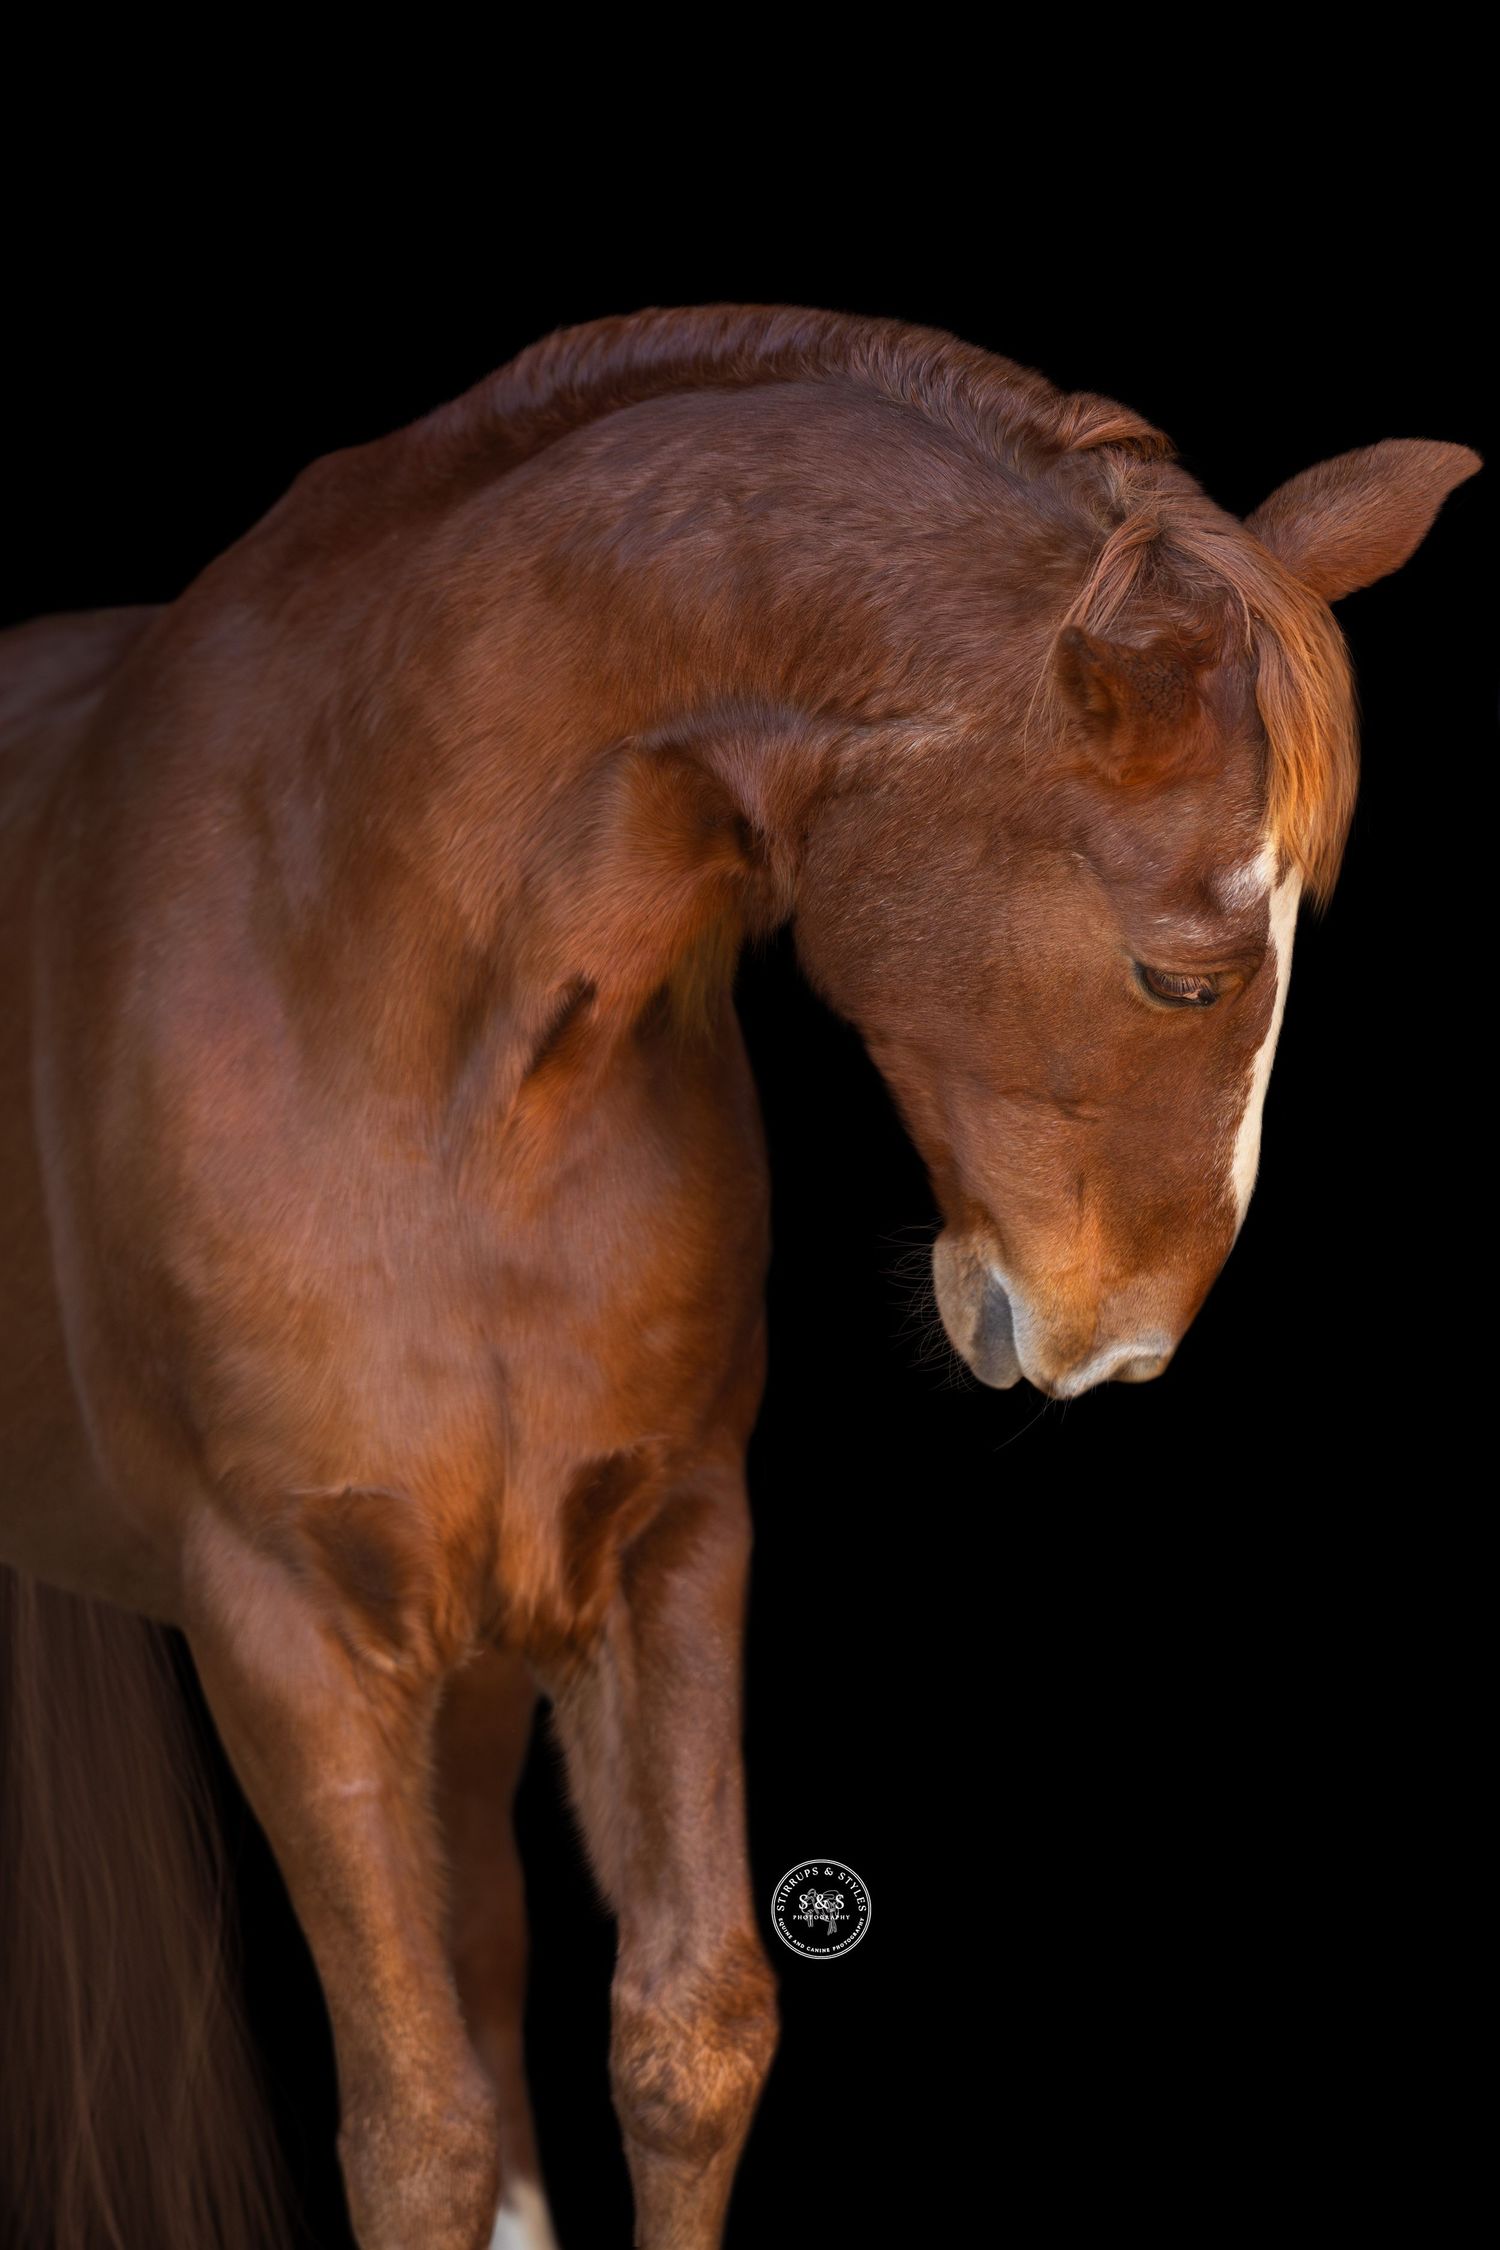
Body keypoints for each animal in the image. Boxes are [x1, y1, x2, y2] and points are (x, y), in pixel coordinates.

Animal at [0, 303, 1476, 2250]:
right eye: (1181, 975)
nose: (1121, 1341)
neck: (403, 1033)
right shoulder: (281, 1621)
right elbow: (415, 2133)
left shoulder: (667, 1540)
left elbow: (688, 2038)